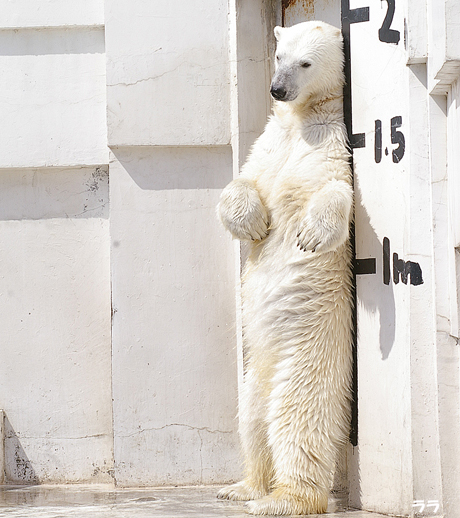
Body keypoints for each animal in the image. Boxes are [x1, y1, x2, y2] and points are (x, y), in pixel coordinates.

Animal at [217, 20, 354, 516]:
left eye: (306, 62)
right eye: (280, 55)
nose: (277, 89)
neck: (301, 120)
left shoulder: (332, 144)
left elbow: (335, 190)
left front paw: (310, 236)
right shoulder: (270, 145)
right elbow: (241, 181)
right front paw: (254, 223)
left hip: (309, 348)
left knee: (296, 416)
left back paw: (285, 498)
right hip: (254, 370)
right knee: (252, 417)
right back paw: (244, 487)